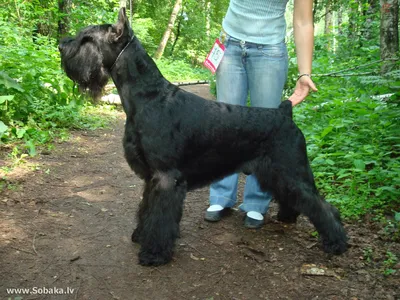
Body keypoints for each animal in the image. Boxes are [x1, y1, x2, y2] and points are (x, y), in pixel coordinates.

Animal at [58, 7, 346, 264]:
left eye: (87, 38)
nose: (61, 45)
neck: (147, 96)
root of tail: (285, 111)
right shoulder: (151, 177)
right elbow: (146, 209)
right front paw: (141, 235)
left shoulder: (166, 177)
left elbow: (160, 217)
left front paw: (154, 253)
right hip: (276, 174)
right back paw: (289, 217)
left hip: (291, 171)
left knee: (323, 206)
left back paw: (337, 243)